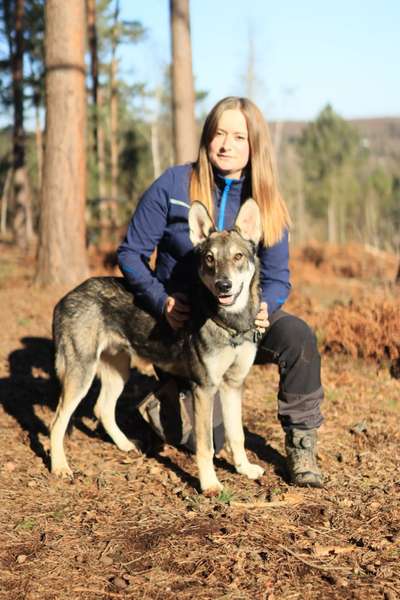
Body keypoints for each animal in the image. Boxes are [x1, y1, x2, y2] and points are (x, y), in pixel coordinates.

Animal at [51, 199, 266, 494]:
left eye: (238, 257)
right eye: (210, 259)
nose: (224, 286)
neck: (230, 324)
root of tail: (64, 298)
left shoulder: (233, 385)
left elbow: (237, 435)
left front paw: (244, 469)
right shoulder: (204, 389)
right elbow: (206, 446)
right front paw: (210, 484)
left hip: (118, 372)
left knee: (102, 410)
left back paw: (126, 446)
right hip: (81, 375)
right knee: (57, 422)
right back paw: (60, 467)